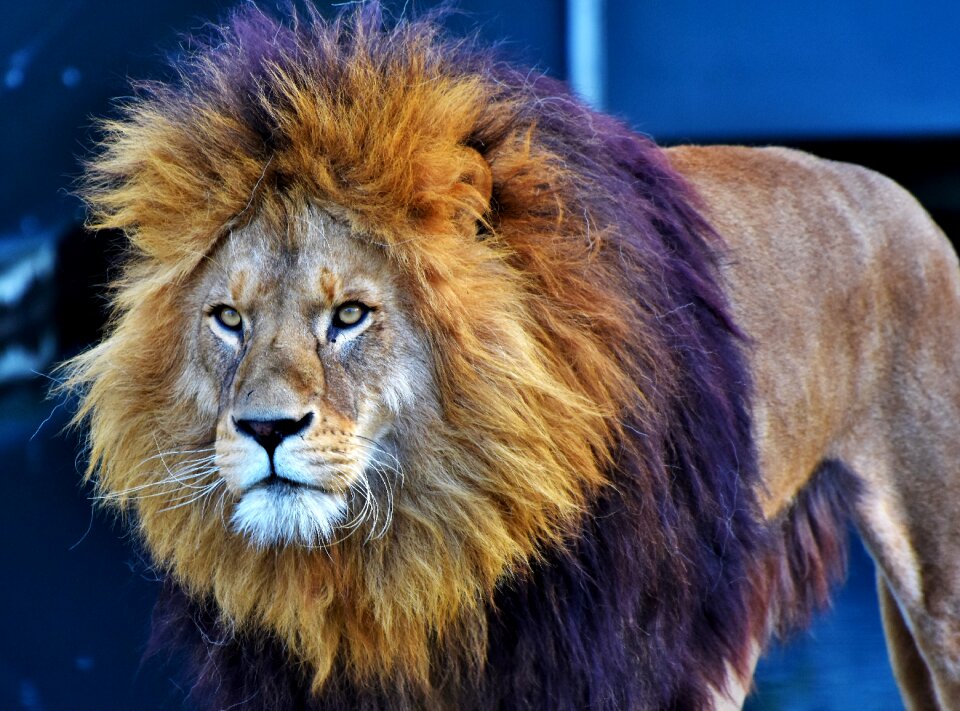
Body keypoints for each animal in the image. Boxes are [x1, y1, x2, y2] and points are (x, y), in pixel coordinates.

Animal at [65, 2, 960, 708]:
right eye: (228, 319)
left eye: (350, 315)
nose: (265, 429)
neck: (416, 547)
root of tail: (898, 191)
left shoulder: (621, 657)